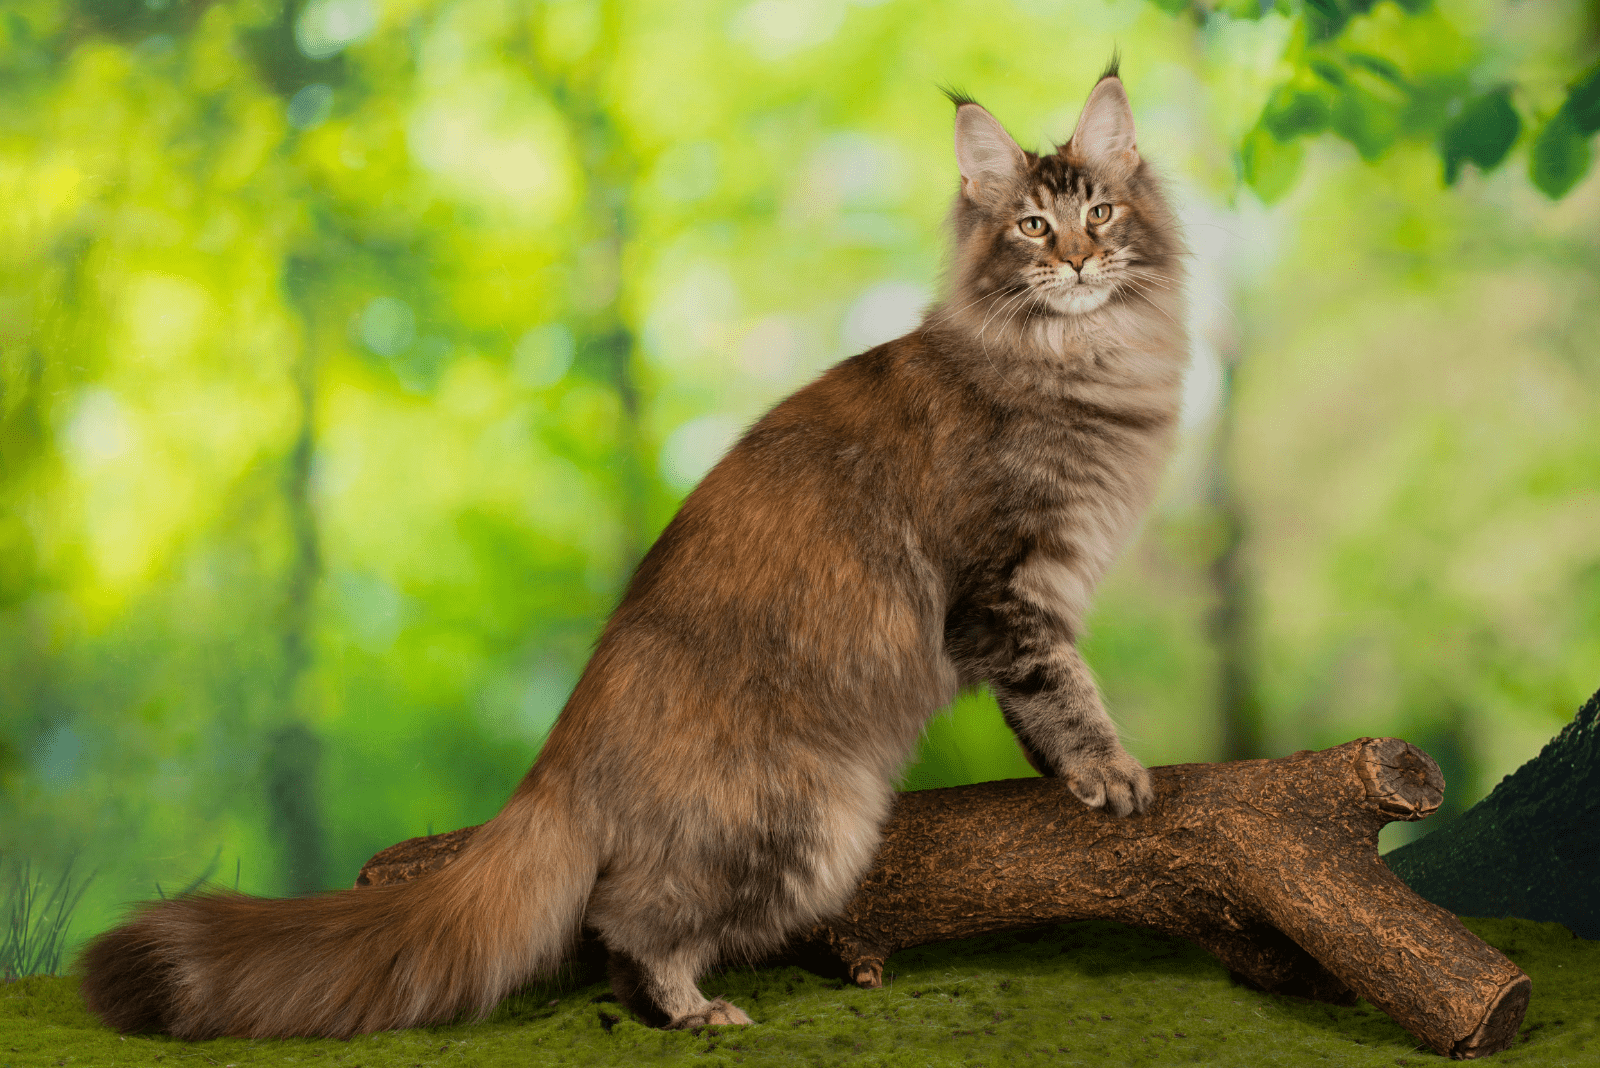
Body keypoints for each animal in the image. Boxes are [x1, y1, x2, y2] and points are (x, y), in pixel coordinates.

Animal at [84, 62, 1190, 1036]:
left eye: (1101, 215)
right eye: (1032, 227)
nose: (1077, 260)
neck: (1079, 359)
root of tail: (563, 752)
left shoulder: (1027, 590)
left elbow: (1034, 708)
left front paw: (1068, 775)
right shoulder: (1002, 587)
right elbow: (1060, 689)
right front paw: (1110, 769)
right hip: (807, 822)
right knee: (625, 921)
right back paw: (690, 1009)